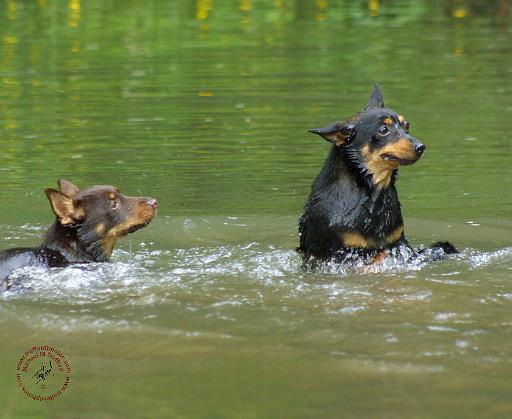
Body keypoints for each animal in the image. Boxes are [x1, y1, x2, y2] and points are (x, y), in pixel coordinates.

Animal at [298, 86, 458, 270]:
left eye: (407, 125)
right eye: (383, 130)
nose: (421, 146)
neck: (373, 193)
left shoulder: (398, 241)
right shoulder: (340, 254)